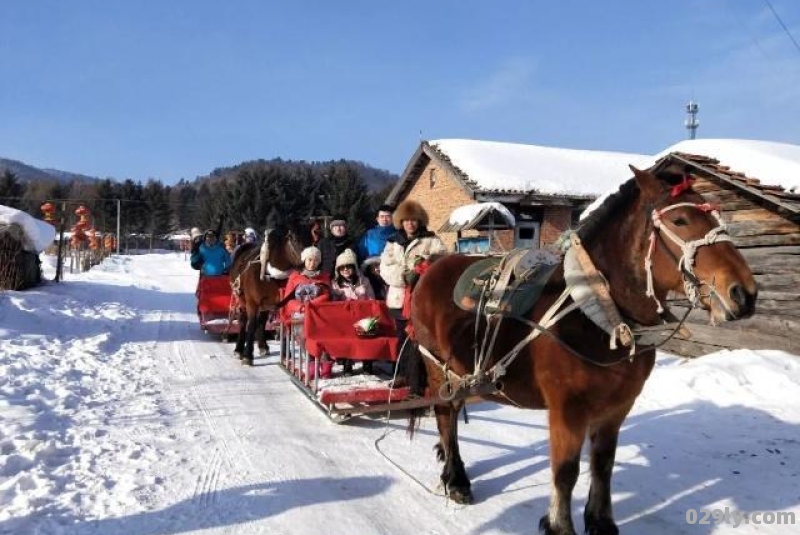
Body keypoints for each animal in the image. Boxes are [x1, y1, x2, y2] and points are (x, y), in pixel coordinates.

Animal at [231, 221, 310, 364]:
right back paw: (239, 349)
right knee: (244, 321)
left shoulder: (281, 302)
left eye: (313, 237)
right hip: (241, 299)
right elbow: (251, 325)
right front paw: (247, 356)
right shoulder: (252, 302)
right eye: (296, 239)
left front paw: (286, 355)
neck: (272, 276)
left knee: (262, 321)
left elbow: (284, 324)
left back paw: (263, 345)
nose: (310, 261)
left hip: (266, 304)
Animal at [406, 168, 756, 535]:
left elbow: (603, 465)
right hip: (440, 370)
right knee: (446, 417)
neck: (600, 315)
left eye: (717, 215)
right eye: (680, 219)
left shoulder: (616, 409)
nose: (744, 293)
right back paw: (456, 478)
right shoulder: (567, 411)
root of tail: (429, 267)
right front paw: (559, 525)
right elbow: (565, 472)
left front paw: (601, 521)